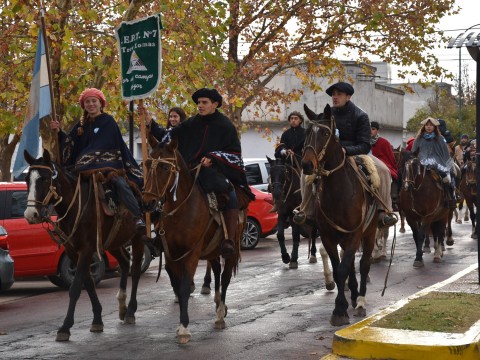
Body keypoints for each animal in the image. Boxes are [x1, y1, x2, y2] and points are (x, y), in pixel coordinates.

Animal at [23, 148, 144, 340]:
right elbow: (88, 283)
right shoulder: (73, 251)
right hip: (113, 242)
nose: (30, 214)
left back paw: (131, 310)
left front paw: (65, 327)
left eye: (44, 179)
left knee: (136, 269)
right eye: (27, 179)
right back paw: (122, 306)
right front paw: (97, 319)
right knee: (125, 262)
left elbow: (75, 287)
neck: (74, 208)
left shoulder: (86, 250)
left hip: (138, 236)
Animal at [141, 140, 246, 344]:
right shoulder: (171, 254)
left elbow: (183, 287)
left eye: (166, 167)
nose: (148, 203)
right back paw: (217, 302)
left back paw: (220, 314)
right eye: (148, 164)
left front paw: (184, 329)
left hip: (230, 249)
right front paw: (181, 325)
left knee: (225, 277)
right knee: (216, 270)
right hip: (212, 250)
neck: (181, 211)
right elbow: (177, 285)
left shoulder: (192, 253)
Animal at [266, 156, 334, 288]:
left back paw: (312, 254)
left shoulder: (295, 215)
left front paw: (293, 259)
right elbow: (280, 235)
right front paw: (285, 257)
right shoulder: (282, 214)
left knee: (313, 232)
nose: (276, 193)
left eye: (284, 172)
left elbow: (296, 236)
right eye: (271, 172)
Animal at [300, 104, 378, 326]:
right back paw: (353, 295)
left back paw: (360, 301)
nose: (307, 164)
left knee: (364, 264)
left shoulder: (355, 234)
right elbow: (338, 269)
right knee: (350, 263)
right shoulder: (328, 236)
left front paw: (340, 310)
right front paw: (341, 306)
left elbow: (345, 269)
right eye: (306, 133)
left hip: (369, 234)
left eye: (325, 133)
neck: (338, 192)